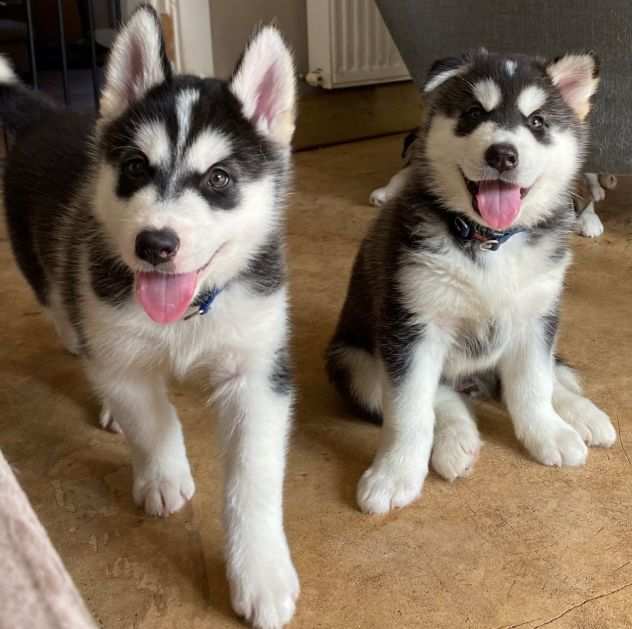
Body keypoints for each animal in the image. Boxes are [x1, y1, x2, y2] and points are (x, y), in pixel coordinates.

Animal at [1, 6, 298, 628]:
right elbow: (150, 416)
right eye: (136, 167)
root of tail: (47, 115)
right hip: (47, 275)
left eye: (219, 179)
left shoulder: (259, 371)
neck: (187, 316)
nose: (155, 244)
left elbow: (253, 477)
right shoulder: (118, 352)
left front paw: (260, 571)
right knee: (67, 319)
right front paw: (163, 475)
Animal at [328, 47, 616, 510]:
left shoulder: (537, 317)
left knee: (551, 375)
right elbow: (409, 410)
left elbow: (532, 384)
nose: (503, 155)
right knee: (439, 397)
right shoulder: (411, 325)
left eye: (537, 122)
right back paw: (455, 443)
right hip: (352, 363)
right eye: (473, 114)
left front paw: (547, 432)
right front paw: (394, 474)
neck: (490, 243)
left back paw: (583, 415)